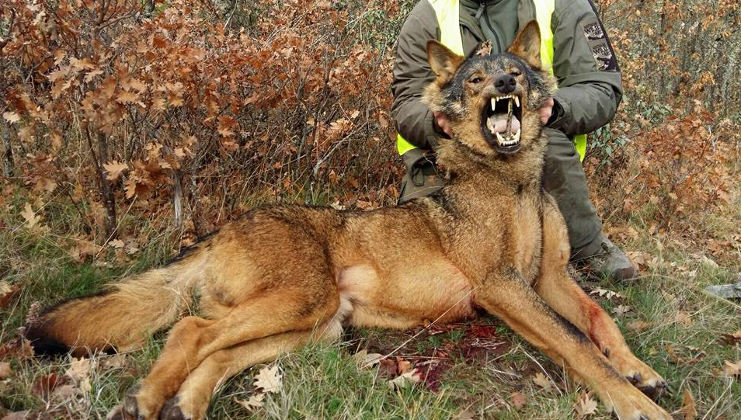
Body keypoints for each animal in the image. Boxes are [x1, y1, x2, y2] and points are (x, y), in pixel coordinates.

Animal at [24, 23, 672, 420]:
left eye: (515, 69)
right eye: (475, 80)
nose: (507, 82)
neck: (511, 179)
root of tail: (221, 230)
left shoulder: (548, 279)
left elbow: (600, 321)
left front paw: (639, 371)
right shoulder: (503, 286)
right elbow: (577, 345)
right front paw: (638, 404)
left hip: (317, 326)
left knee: (212, 350)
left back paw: (186, 404)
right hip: (301, 303)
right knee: (187, 330)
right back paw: (145, 400)